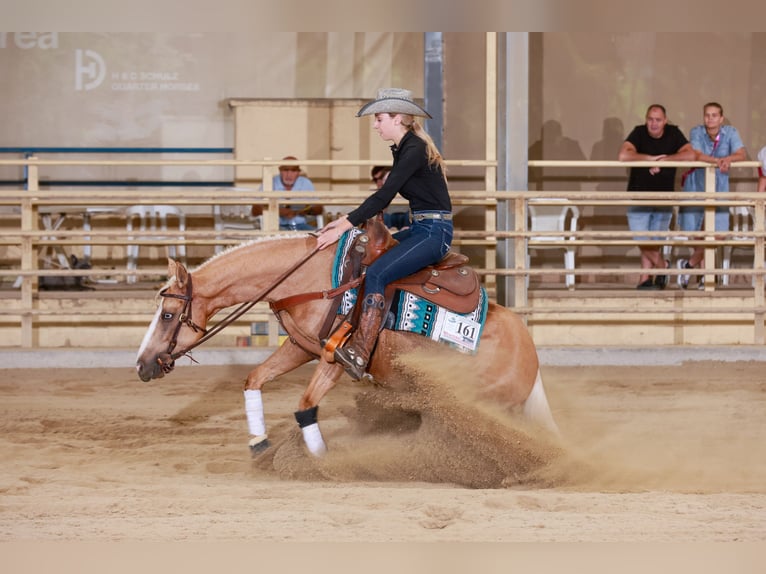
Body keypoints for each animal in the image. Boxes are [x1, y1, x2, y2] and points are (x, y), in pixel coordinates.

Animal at [135, 223, 559, 459]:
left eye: (168, 315)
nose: (142, 365)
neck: (312, 279)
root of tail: (529, 354)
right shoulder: (301, 346)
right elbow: (254, 379)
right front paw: (258, 444)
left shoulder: (334, 359)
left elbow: (306, 406)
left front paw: (321, 461)